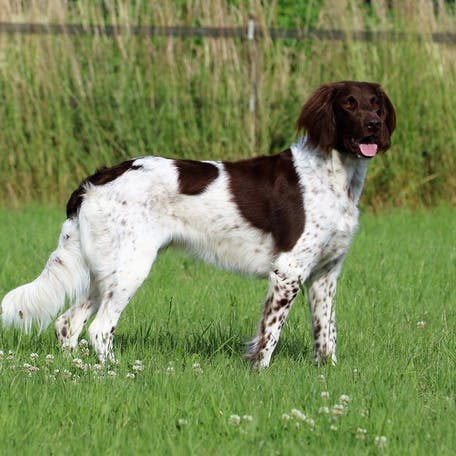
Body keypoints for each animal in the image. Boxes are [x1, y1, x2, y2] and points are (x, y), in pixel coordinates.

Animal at [1, 81, 396, 368]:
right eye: (348, 104)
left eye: (376, 104)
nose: (373, 125)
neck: (333, 176)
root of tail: (95, 179)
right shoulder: (289, 270)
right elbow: (269, 335)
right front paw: (258, 374)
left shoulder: (325, 274)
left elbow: (326, 334)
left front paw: (328, 374)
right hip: (130, 266)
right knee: (99, 329)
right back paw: (118, 372)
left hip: (105, 270)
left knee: (67, 325)